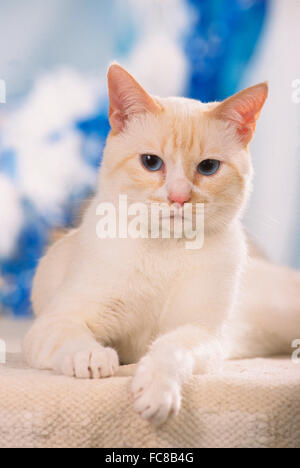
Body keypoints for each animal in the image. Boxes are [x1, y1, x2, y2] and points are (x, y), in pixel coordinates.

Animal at [23, 64, 300, 426]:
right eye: (151, 162)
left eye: (208, 167)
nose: (179, 197)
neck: (164, 252)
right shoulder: (57, 320)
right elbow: (74, 337)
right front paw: (94, 358)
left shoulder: (199, 332)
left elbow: (169, 350)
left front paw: (156, 391)